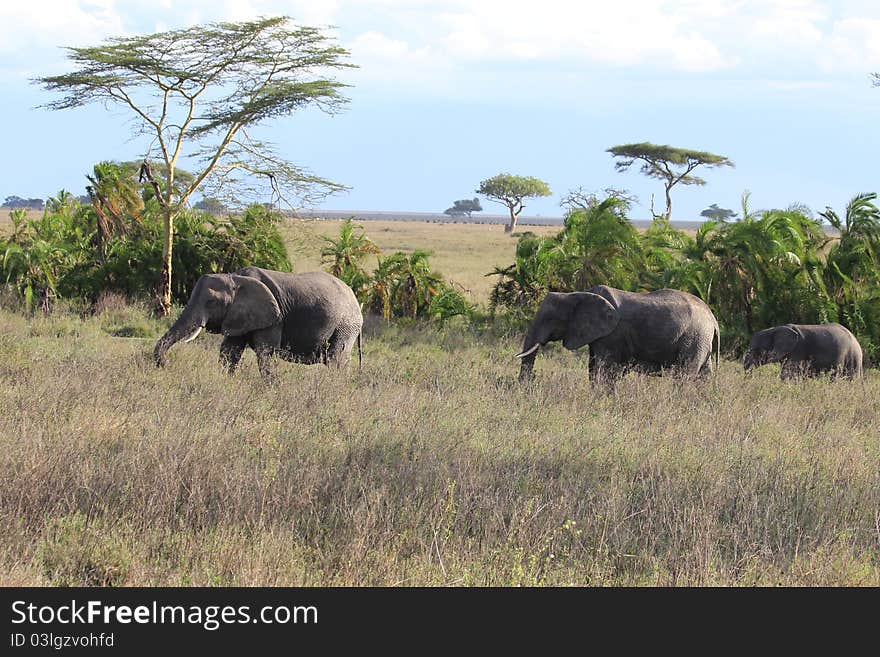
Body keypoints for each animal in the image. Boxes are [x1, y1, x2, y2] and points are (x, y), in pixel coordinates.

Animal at [153, 266, 362, 380]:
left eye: (211, 302)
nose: (166, 364)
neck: (235, 277)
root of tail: (355, 299)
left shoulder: (274, 318)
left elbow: (265, 352)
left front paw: (273, 388)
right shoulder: (240, 315)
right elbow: (229, 352)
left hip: (345, 326)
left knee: (336, 359)